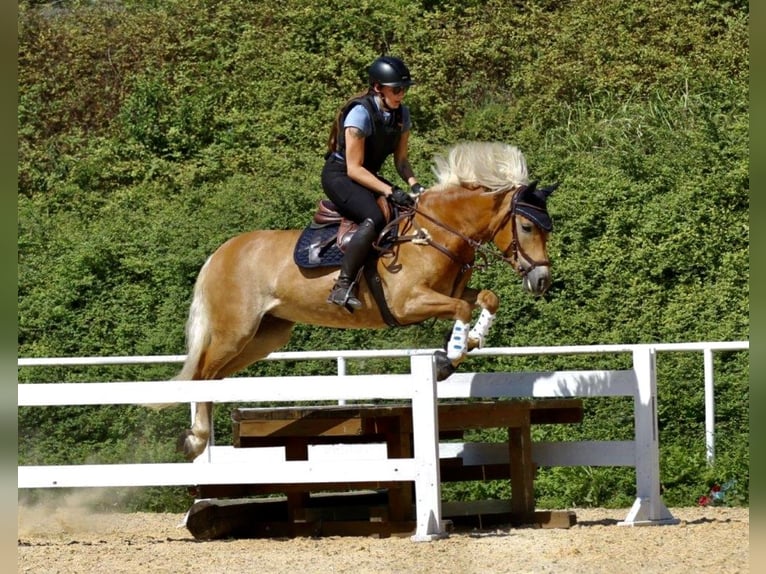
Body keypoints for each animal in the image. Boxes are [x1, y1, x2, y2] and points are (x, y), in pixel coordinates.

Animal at [174, 142, 560, 462]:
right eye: (527, 227)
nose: (541, 281)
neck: (434, 232)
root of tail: (220, 253)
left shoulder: (447, 292)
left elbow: (487, 298)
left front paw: (474, 339)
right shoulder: (407, 303)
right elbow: (463, 309)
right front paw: (447, 358)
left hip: (265, 336)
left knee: (215, 376)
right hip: (235, 331)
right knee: (202, 374)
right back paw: (196, 439)